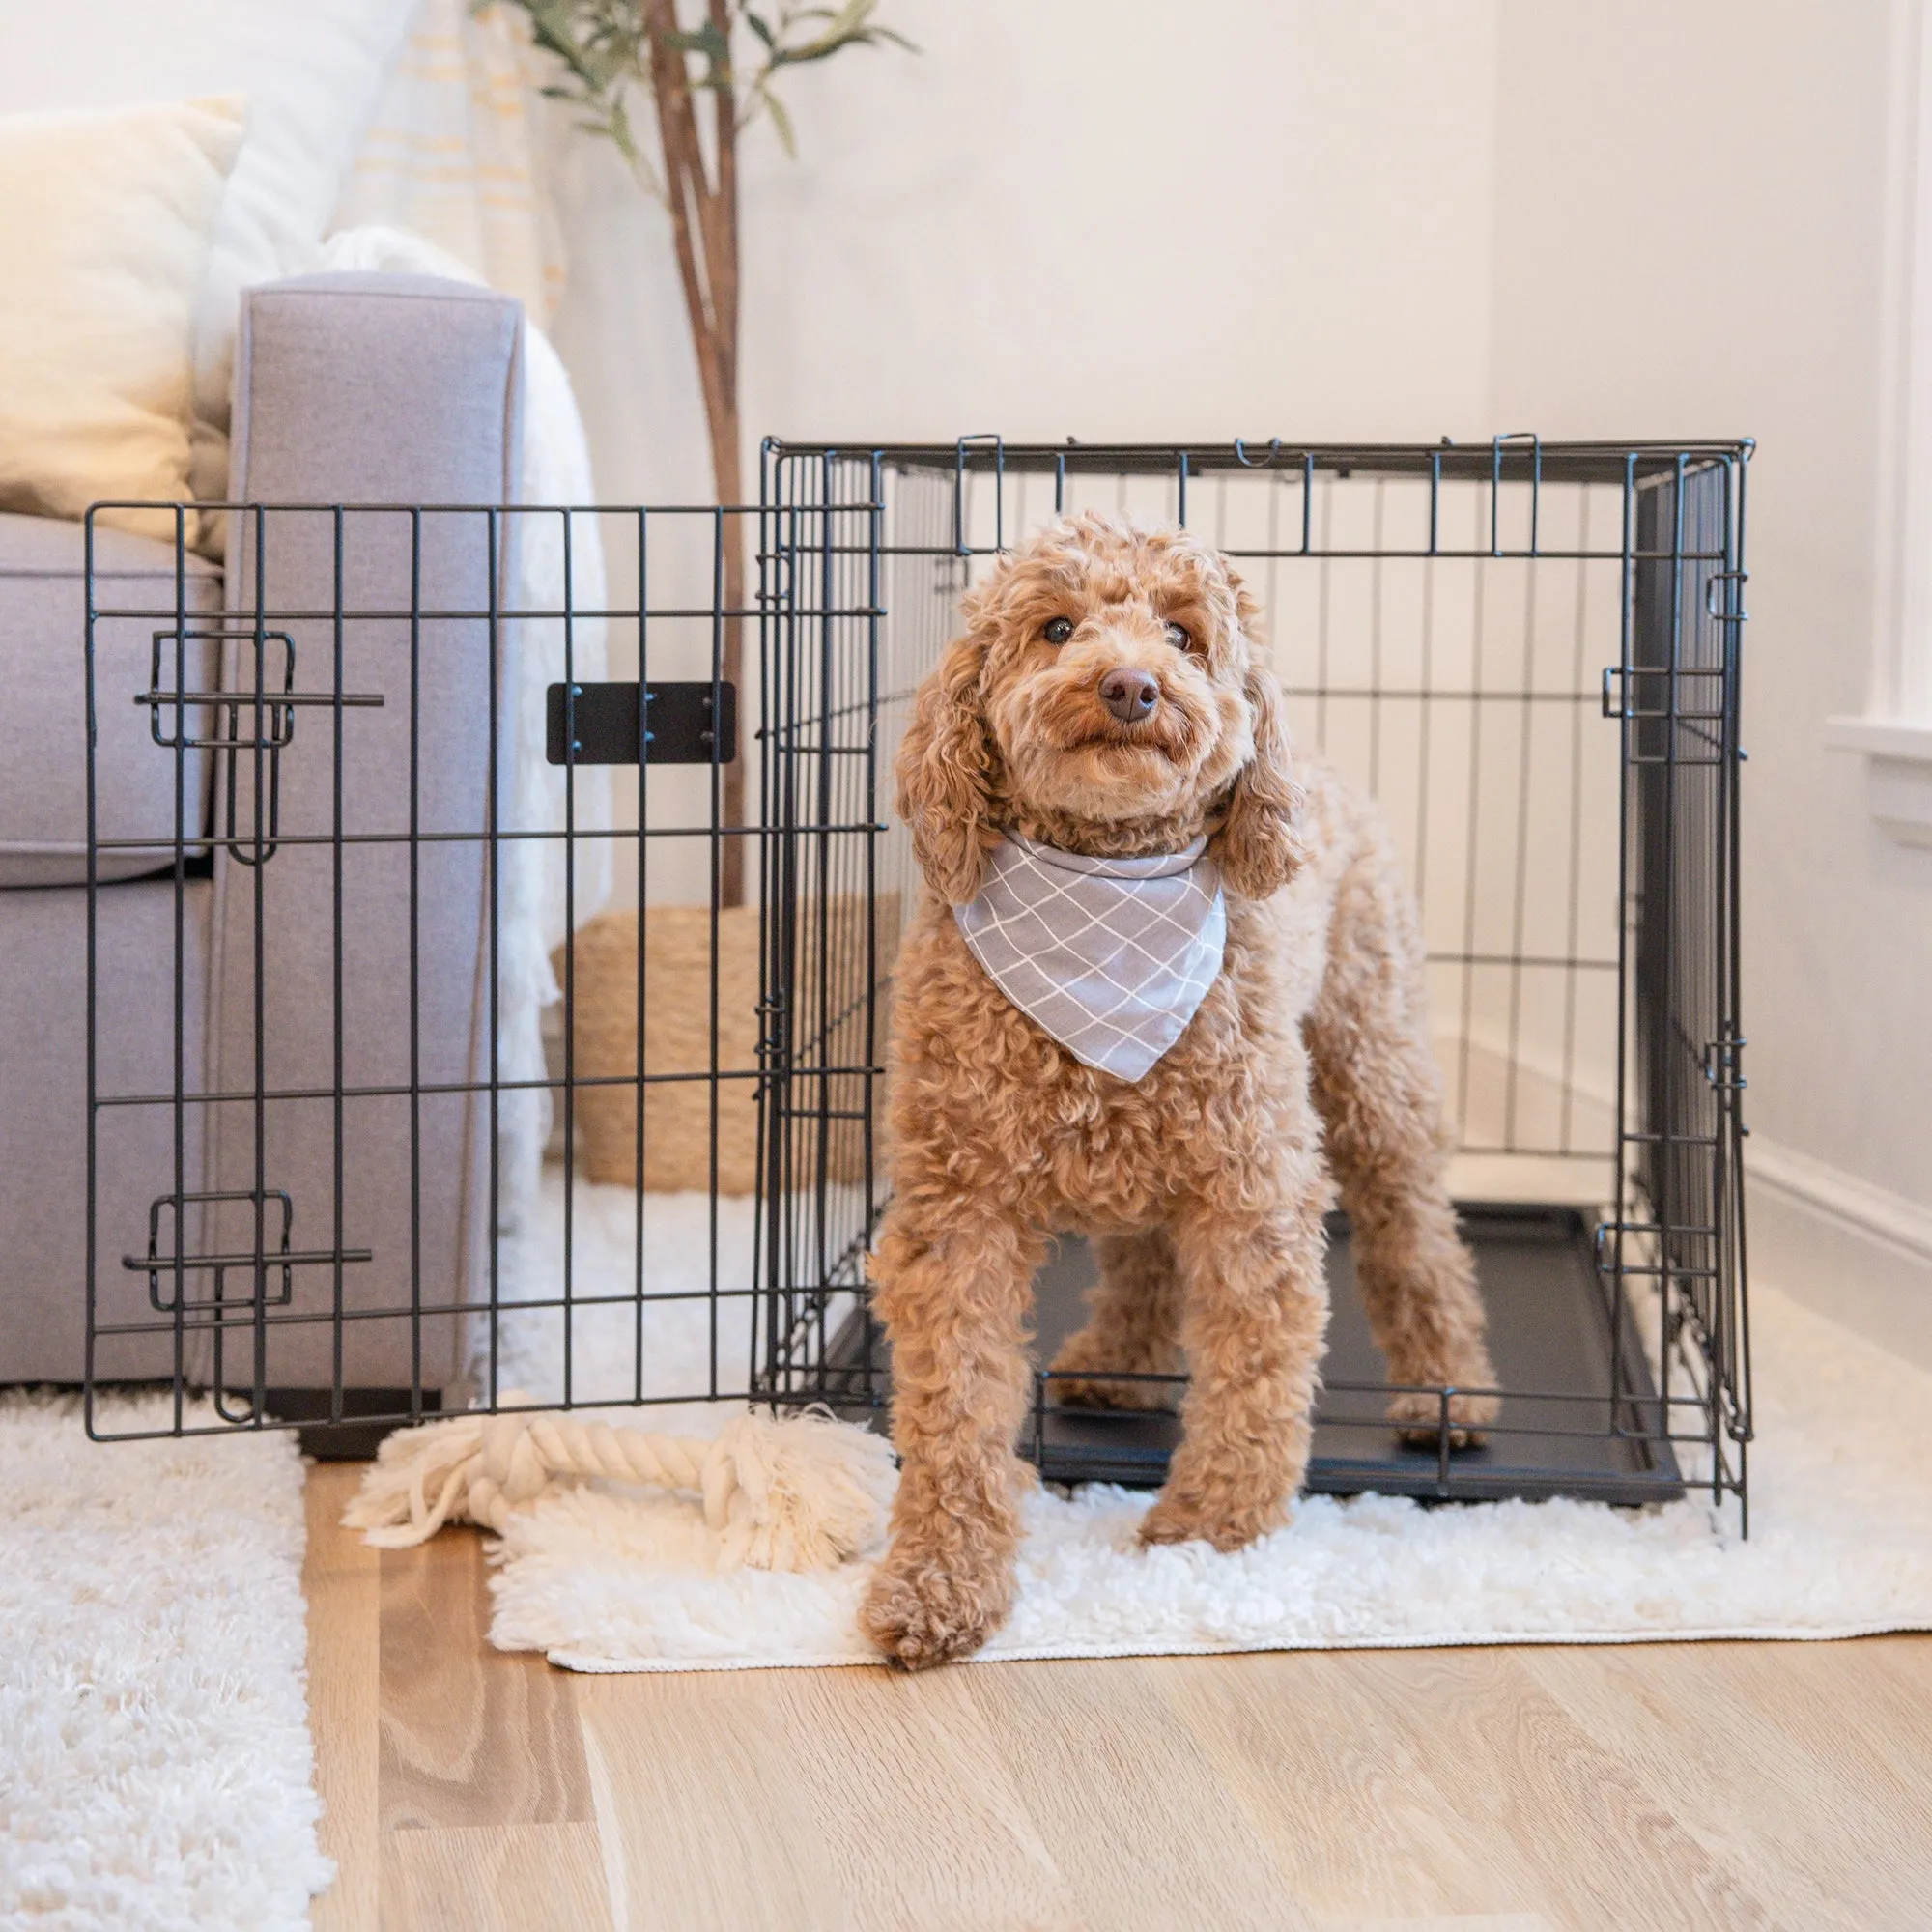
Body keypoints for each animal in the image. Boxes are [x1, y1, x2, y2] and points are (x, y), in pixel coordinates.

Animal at [862, 506, 1492, 1669]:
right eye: (1056, 627)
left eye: (1186, 635)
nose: (1130, 686)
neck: (1105, 900)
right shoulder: (956, 1208)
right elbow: (954, 1409)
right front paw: (939, 1581)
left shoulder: (1253, 1186)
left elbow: (1255, 1365)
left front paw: (1211, 1529)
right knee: (1143, 1251)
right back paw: (1116, 1359)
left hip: (1370, 1060)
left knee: (1415, 1232)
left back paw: (1449, 1393)